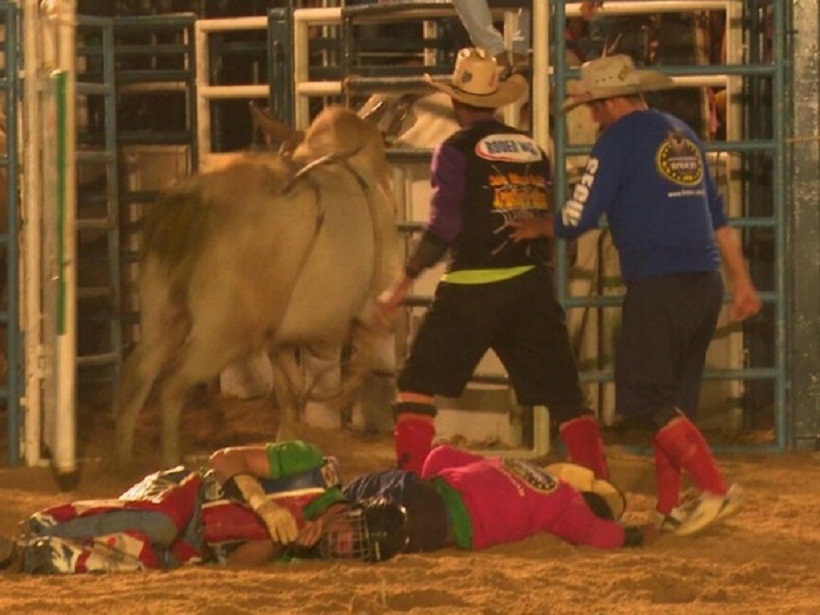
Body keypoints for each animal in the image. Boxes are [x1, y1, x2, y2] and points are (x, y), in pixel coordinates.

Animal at [113, 108, 400, 470]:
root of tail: (193, 202)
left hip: (162, 313)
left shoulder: (278, 339)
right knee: (173, 382)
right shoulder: (377, 308)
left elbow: (288, 395)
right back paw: (172, 461)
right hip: (222, 331)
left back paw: (123, 460)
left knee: (140, 370)